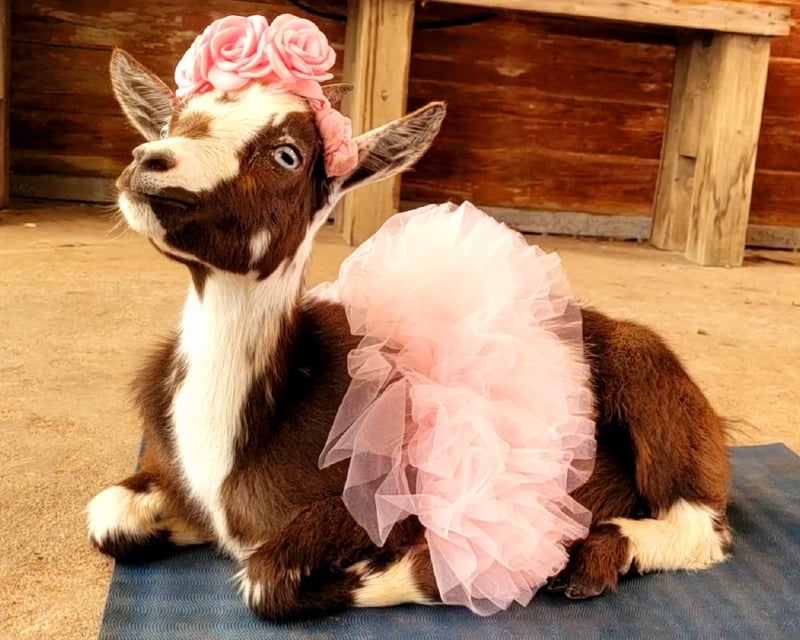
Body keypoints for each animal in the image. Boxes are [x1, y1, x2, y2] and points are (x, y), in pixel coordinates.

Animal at [87, 46, 731, 622]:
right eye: (173, 119)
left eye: (288, 154)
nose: (151, 160)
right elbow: (107, 514)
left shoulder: (381, 498)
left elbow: (272, 578)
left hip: (654, 390)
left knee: (699, 525)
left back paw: (591, 557)